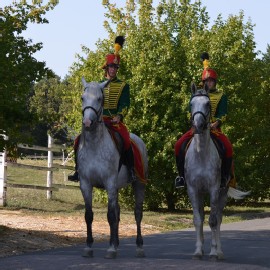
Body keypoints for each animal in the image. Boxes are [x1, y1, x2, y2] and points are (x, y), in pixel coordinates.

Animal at [77, 77, 149, 258]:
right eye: (82, 98)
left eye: (99, 99)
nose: (87, 122)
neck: (94, 145)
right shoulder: (86, 184)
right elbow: (89, 215)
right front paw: (89, 247)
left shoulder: (109, 183)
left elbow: (110, 215)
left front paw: (110, 248)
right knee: (118, 212)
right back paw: (116, 243)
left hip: (139, 184)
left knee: (137, 213)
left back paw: (139, 246)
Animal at [185, 83, 250, 260]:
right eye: (191, 104)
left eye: (208, 104)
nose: (198, 126)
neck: (201, 154)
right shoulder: (193, 189)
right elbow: (198, 220)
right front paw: (198, 251)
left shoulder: (214, 189)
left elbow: (213, 220)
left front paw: (214, 252)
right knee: (202, 216)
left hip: (223, 192)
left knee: (219, 218)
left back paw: (219, 251)